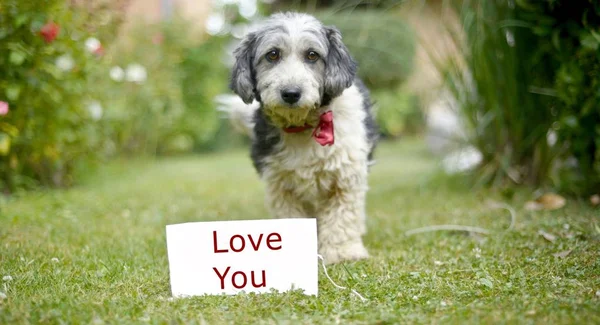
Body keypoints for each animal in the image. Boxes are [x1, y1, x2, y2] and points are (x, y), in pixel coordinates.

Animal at [217, 12, 380, 264]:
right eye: (272, 54)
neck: (303, 126)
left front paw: (341, 251)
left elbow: (342, 216)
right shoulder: (280, 185)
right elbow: (291, 217)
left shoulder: (345, 178)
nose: (291, 93)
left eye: (312, 55)